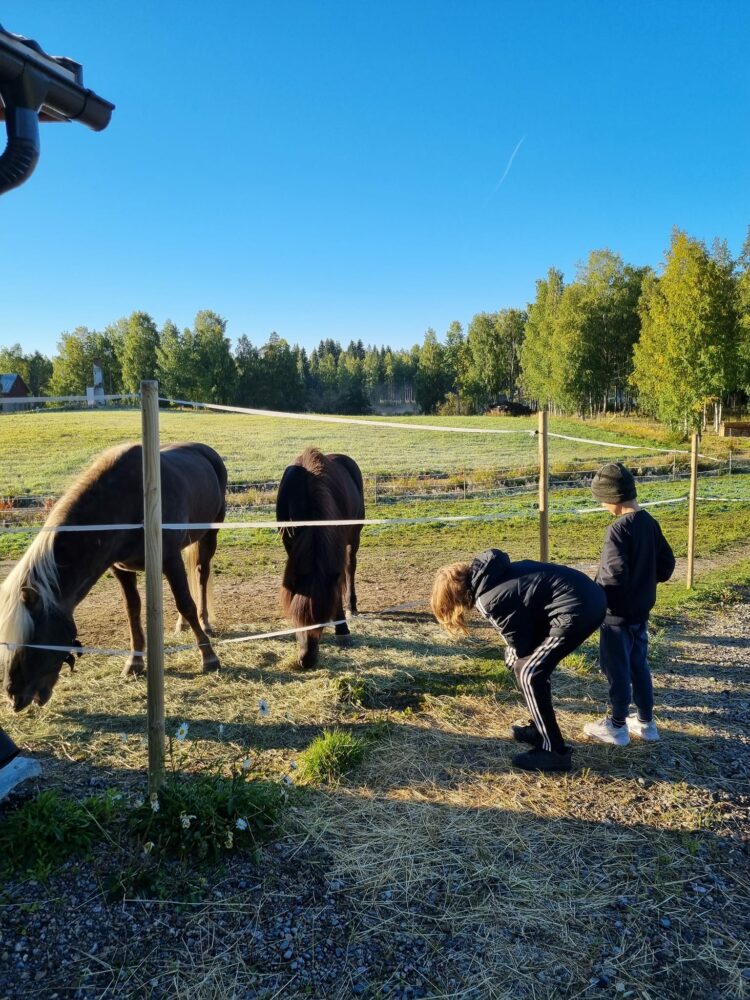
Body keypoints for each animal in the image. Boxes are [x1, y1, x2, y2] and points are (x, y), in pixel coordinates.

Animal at [1, 444, 228, 712]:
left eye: (32, 639)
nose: (14, 697)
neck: (125, 501)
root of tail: (206, 451)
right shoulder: (120, 568)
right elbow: (133, 610)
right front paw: (135, 663)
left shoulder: (170, 559)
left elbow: (186, 603)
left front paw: (209, 657)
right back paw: (181, 625)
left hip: (210, 534)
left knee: (202, 575)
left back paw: (205, 622)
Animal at [280, 450, 368, 668]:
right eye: (297, 618)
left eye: (322, 618)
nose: (307, 660)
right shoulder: (290, 545)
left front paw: (342, 629)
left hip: (354, 537)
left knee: (350, 568)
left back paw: (351, 606)